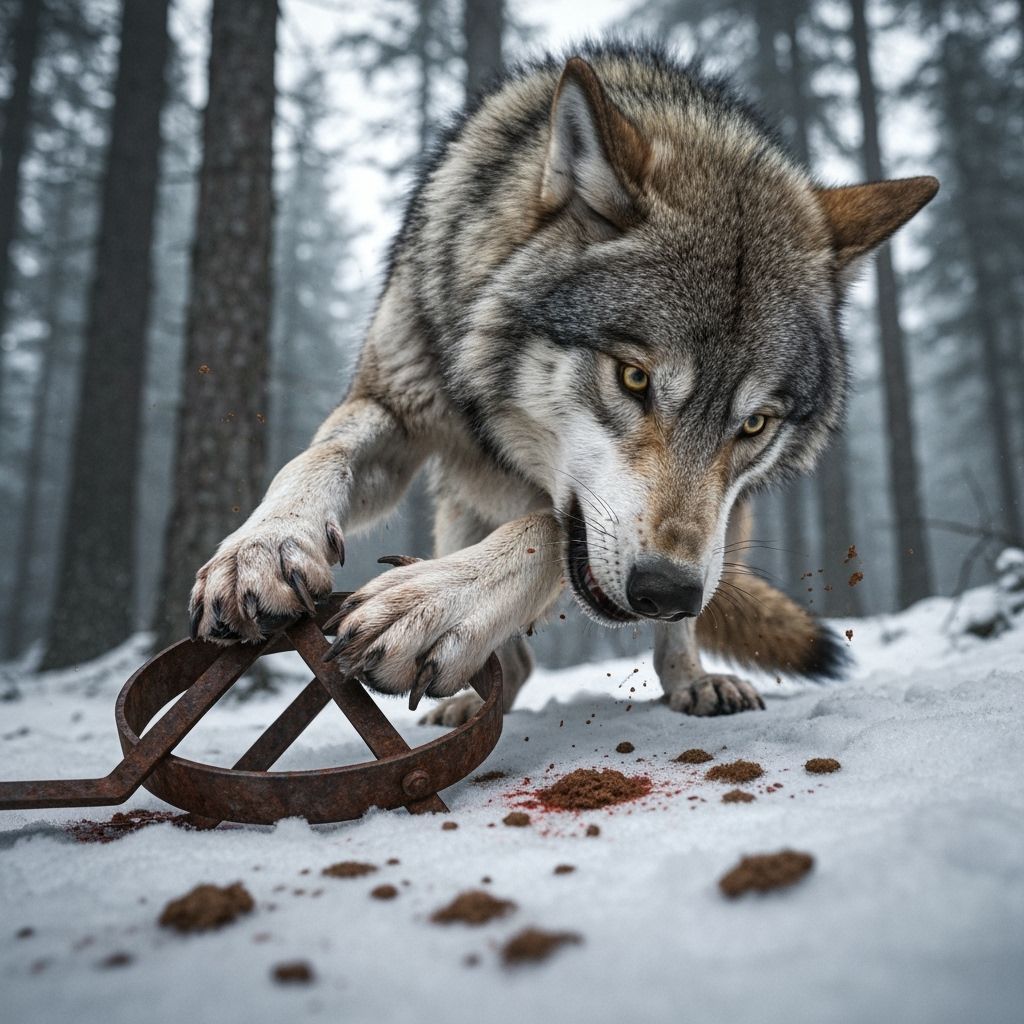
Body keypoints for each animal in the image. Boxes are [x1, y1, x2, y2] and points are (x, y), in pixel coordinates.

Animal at [187, 43, 937, 724]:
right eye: (633, 378)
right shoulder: (396, 408)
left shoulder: (655, 532)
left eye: (753, 423)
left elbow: (547, 526)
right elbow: (319, 456)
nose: (667, 591)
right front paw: (262, 549)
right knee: (515, 662)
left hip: (720, 531)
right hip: (458, 508)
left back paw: (694, 682)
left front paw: (433, 604)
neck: (494, 424)